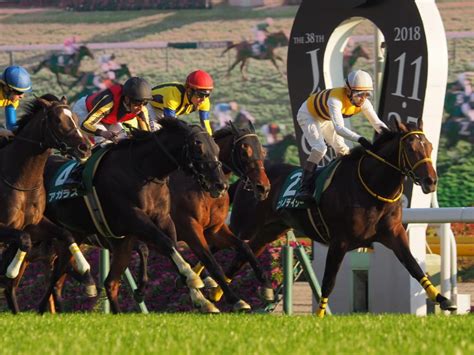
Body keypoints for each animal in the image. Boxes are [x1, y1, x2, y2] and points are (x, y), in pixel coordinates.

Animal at [0, 95, 91, 314]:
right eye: (58, 121)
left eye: (75, 118)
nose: (85, 147)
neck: (21, 182)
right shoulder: (5, 228)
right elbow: (23, 241)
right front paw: (12, 269)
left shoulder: (34, 224)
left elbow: (65, 234)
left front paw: (84, 267)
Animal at [36, 119, 226, 314]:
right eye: (198, 147)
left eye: (217, 148)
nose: (220, 184)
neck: (143, 170)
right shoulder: (134, 217)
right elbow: (165, 243)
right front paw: (192, 277)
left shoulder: (163, 219)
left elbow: (171, 245)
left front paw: (201, 298)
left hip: (77, 235)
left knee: (74, 277)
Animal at [168, 122, 270, 312]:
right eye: (245, 152)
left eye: (263, 152)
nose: (263, 188)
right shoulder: (189, 228)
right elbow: (211, 261)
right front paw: (235, 299)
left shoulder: (214, 229)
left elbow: (245, 247)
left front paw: (266, 286)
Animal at [228, 119, 458, 318]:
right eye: (411, 149)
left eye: (429, 146)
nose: (431, 181)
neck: (372, 188)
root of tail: (246, 180)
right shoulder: (340, 241)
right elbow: (328, 281)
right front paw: (320, 315)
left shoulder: (394, 234)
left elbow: (414, 267)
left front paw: (444, 300)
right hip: (243, 227)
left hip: (268, 231)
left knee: (238, 260)